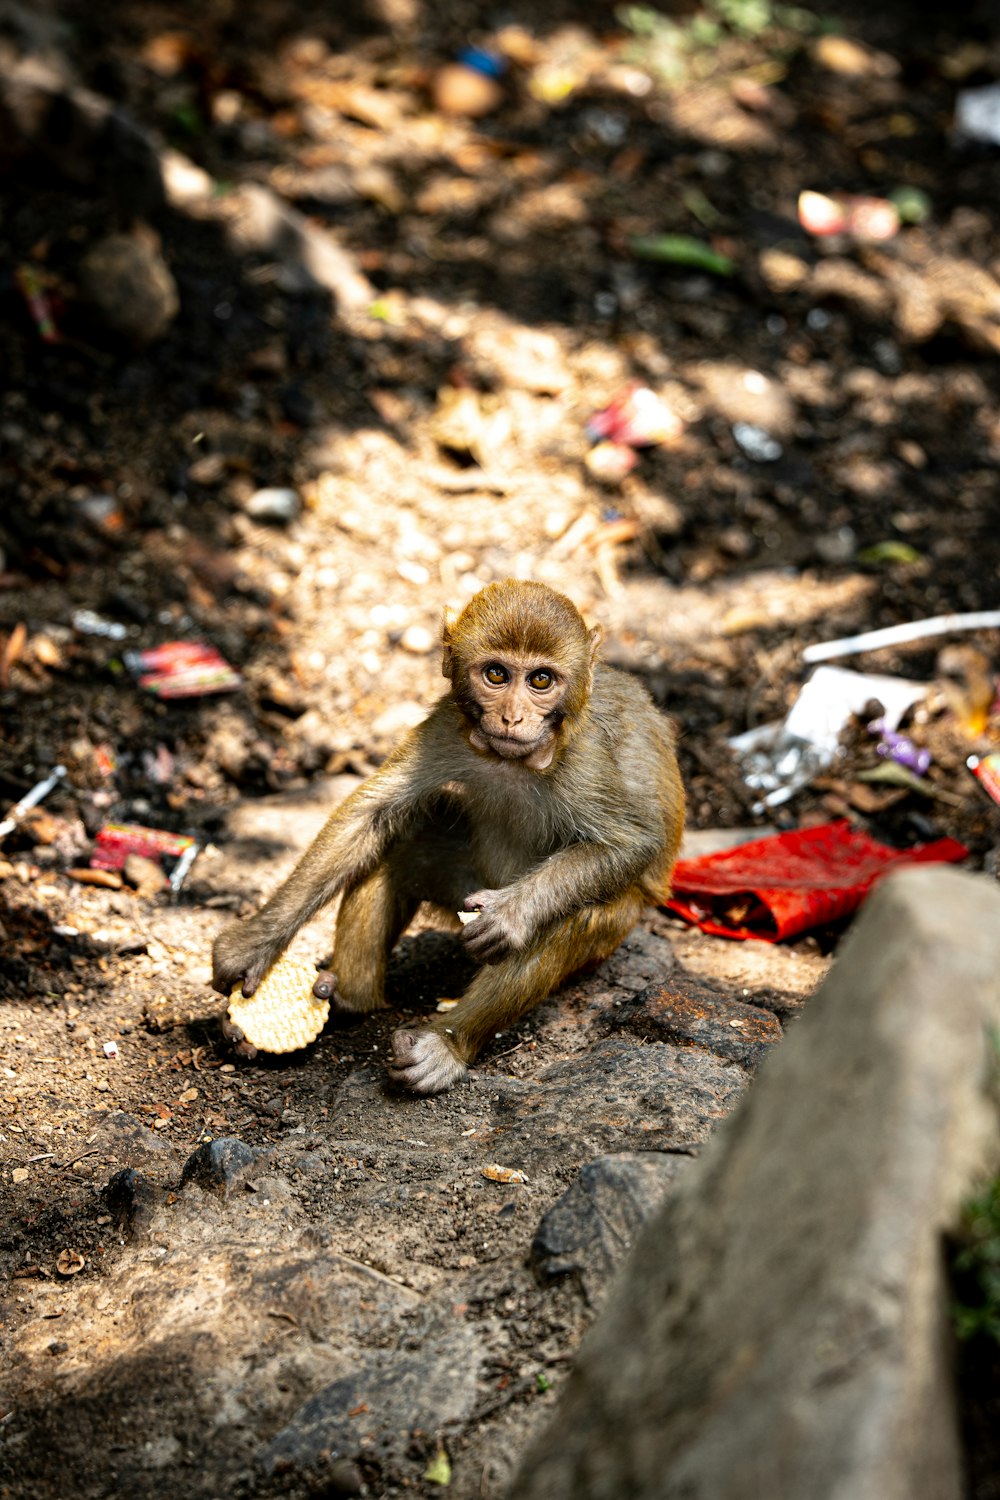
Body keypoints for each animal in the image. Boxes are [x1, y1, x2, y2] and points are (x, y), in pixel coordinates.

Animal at [212, 579, 689, 1098]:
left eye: (541, 681)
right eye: (496, 674)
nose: (512, 717)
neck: (514, 760)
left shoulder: (586, 758)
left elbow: (629, 844)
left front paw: (511, 914)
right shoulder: (447, 726)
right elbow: (371, 814)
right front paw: (254, 944)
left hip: (608, 923)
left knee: (572, 920)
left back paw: (446, 1044)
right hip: (462, 879)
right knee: (397, 851)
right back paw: (348, 1000)